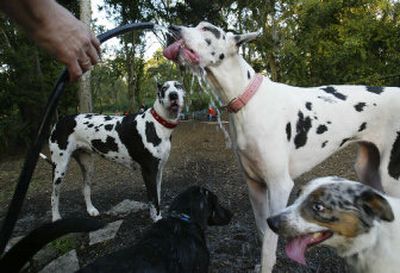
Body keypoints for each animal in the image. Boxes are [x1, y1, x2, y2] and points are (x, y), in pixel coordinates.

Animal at [47, 80, 185, 221]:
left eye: (178, 86)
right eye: (164, 88)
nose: (173, 95)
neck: (157, 124)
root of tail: (60, 121)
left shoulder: (158, 171)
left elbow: (157, 198)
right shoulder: (149, 172)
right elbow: (154, 202)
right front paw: (157, 220)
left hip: (88, 167)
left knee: (85, 189)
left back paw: (91, 209)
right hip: (59, 168)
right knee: (53, 196)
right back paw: (56, 218)